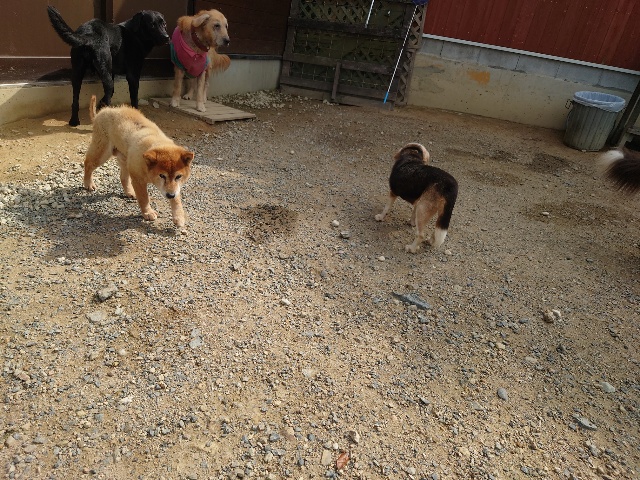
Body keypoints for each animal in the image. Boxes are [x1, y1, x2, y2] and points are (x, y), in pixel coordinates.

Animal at [83, 95, 194, 227]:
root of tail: (101, 112)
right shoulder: (138, 180)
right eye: (162, 175)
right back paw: (88, 184)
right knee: (88, 164)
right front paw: (148, 213)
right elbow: (144, 198)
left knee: (123, 177)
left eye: (178, 176)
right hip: (102, 153)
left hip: (125, 159)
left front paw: (179, 216)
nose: (170, 195)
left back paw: (129, 192)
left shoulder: (175, 187)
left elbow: (177, 200)